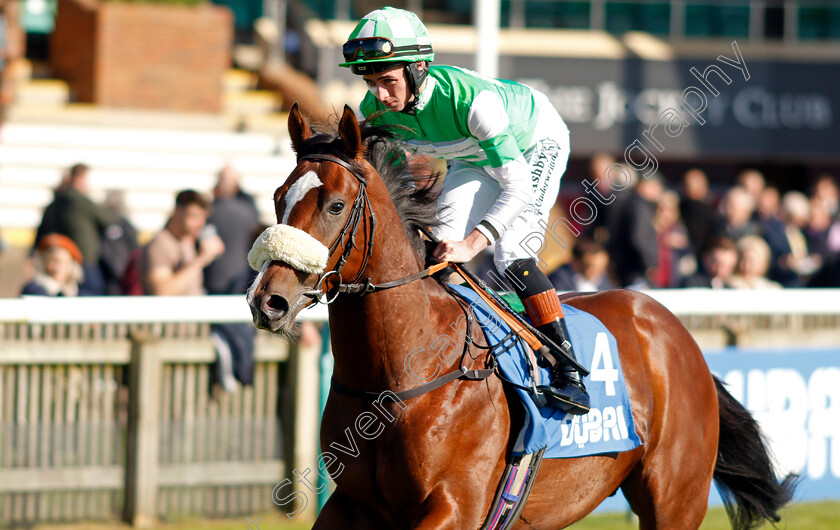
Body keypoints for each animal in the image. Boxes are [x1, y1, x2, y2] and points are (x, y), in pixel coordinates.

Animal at [248, 104, 796, 528]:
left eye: (336, 205)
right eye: (277, 198)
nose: (268, 301)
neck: (402, 375)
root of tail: (674, 330)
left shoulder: (455, 507)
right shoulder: (352, 506)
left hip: (675, 499)